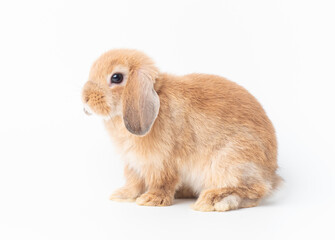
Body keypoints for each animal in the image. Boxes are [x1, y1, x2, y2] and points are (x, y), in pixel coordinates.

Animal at [82, 49, 282, 212]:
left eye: (116, 77)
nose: (85, 99)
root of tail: (271, 174)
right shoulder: (133, 164)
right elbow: (134, 182)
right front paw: (122, 195)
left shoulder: (161, 161)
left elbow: (162, 182)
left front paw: (150, 199)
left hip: (230, 161)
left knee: (255, 190)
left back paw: (213, 200)